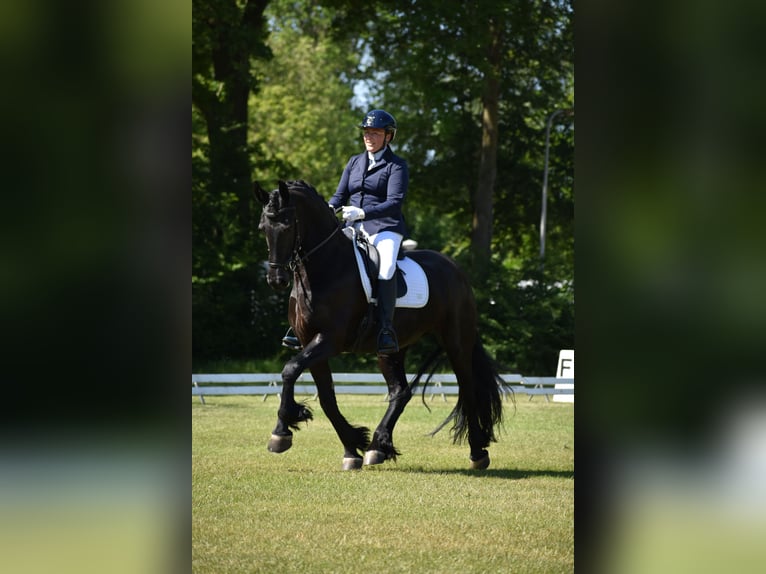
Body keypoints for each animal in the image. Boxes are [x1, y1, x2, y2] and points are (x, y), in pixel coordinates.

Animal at [255, 180, 512, 472]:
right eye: (263, 227)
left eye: (288, 225)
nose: (276, 280)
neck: (326, 269)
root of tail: (456, 271)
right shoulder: (310, 341)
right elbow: (326, 398)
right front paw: (351, 448)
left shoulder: (330, 340)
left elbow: (290, 370)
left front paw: (281, 432)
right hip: (391, 348)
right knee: (400, 392)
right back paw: (378, 447)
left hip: (456, 343)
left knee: (467, 389)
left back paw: (477, 452)